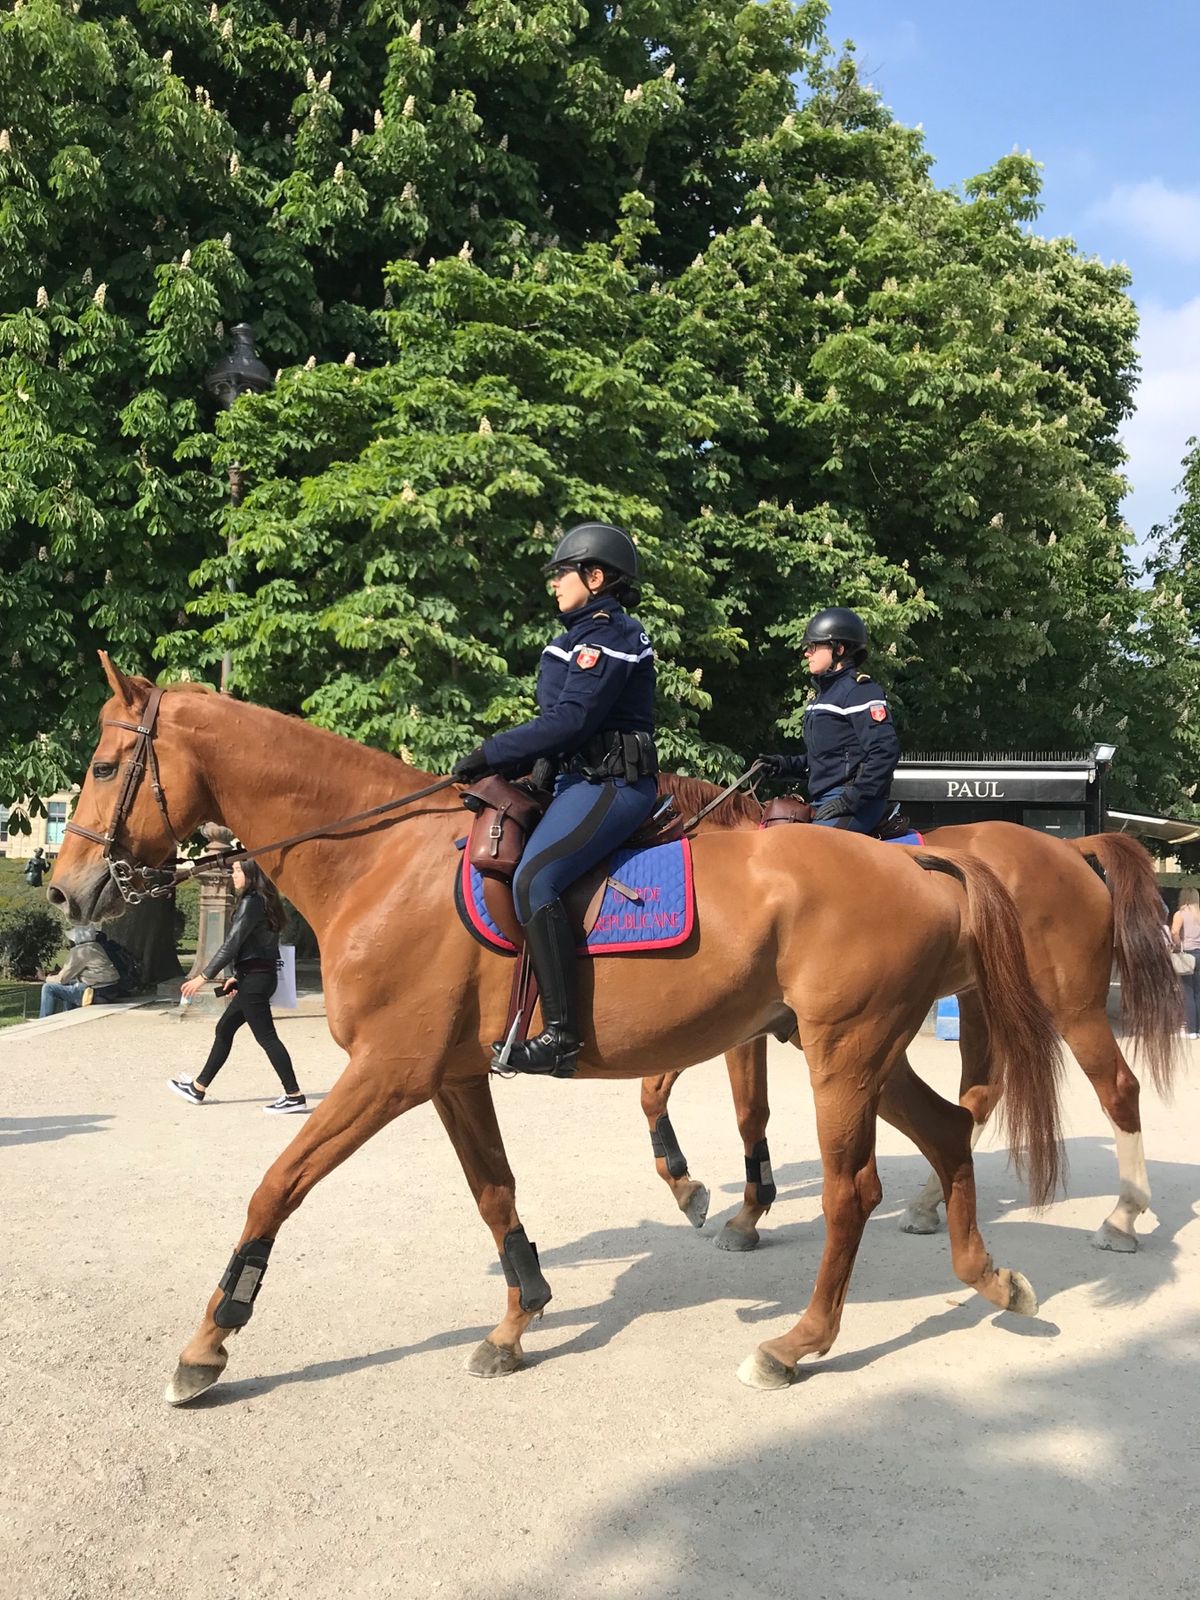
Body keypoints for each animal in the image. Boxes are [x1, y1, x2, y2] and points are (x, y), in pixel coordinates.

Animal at [50, 659, 1064, 1403]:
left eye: (102, 769)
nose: (64, 892)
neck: (381, 858)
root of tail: (923, 863)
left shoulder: (387, 1073)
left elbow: (275, 1188)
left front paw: (210, 1340)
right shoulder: (452, 1077)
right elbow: (494, 1193)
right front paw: (519, 1317)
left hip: (843, 1058)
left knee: (856, 1190)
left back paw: (796, 1342)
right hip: (856, 1052)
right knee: (948, 1131)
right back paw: (991, 1278)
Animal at [640, 775, 1181, 1254]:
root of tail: (1068, 848)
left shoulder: (737, 1027)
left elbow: (747, 1112)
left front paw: (741, 1211)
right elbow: (654, 1091)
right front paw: (690, 1187)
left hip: (1072, 1005)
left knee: (1118, 1088)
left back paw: (1122, 1217)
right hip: (981, 1002)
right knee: (978, 1096)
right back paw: (928, 1202)